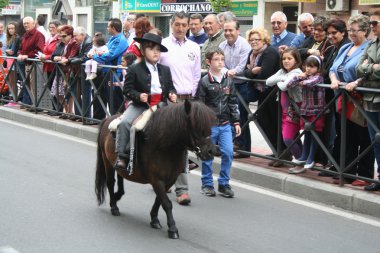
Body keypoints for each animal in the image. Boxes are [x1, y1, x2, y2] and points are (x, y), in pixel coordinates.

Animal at [95, 100, 215, 238]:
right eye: (195, 125)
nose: (211, 151)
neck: (165, 145)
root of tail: (107, 119)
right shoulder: (157, 180)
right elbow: (166, 203)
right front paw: (172, 228)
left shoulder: (169, 180)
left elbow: (159, 200)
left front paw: (154, 219)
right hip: (107, 161)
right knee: (110, 182)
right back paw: (114, 206)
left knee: (120, 177)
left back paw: (117, 195)